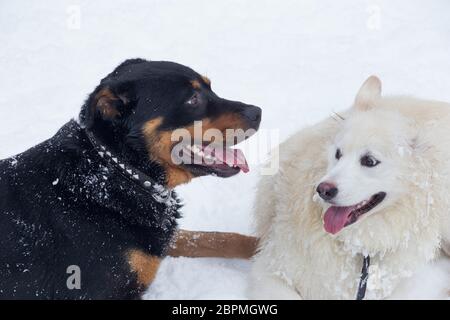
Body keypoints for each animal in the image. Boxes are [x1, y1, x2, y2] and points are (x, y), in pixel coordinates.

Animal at [0, 59, 260, 300]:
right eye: (193, 99)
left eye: (210, 88)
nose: (257, 112)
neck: (115, 173)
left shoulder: (154, 239)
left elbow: (216, 237)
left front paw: (262, 246)